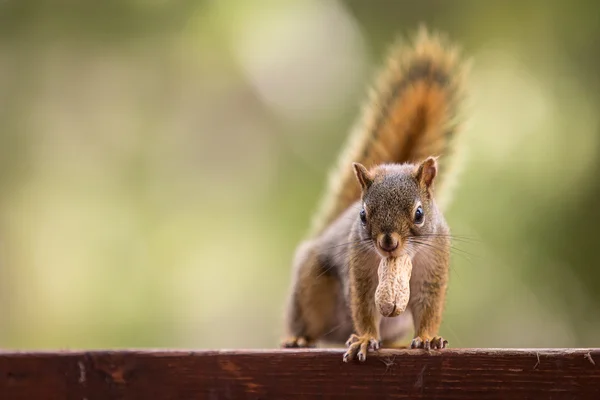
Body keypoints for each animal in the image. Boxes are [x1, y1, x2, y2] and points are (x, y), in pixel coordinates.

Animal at [282, 26, 468, 360]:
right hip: (311, 288)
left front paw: (429, 338)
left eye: (419, 214)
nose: (388, 242)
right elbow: (365, 306)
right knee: (308, 322)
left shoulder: (433, 268)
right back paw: (300, 339)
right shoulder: (361, 270)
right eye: (363, 215)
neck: (399, 262)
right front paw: (367, 339)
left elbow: (429, 307)